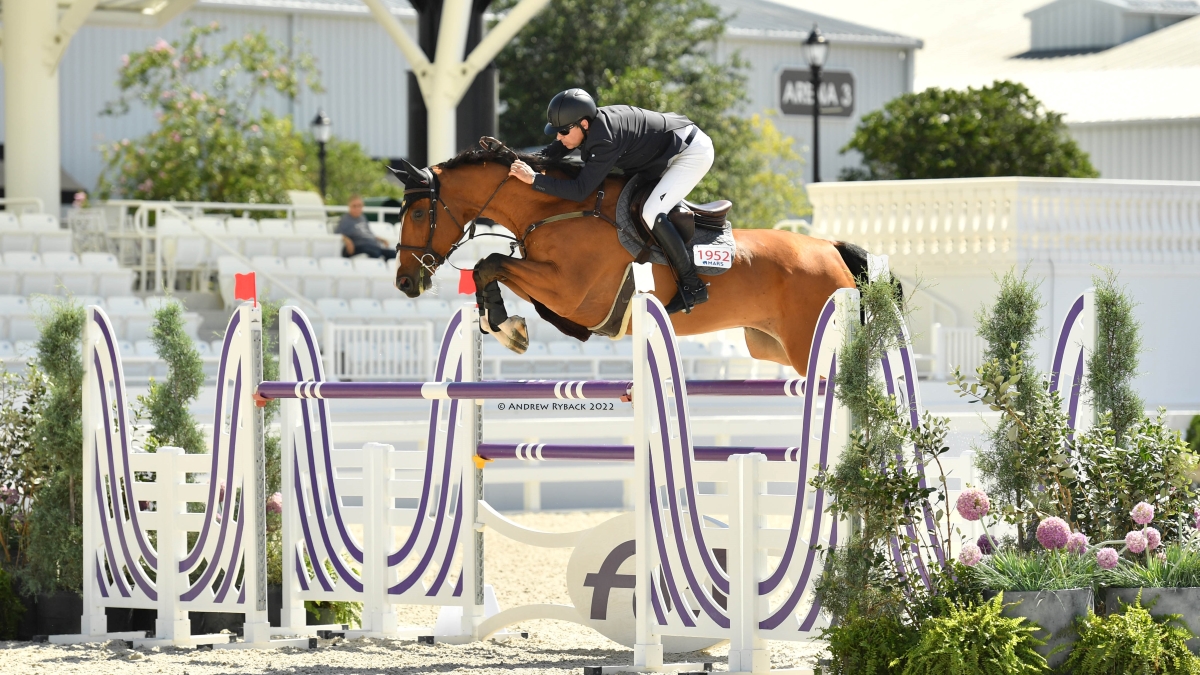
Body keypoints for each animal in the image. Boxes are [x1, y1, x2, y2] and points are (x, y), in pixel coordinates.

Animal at [388, 144, 868, 372]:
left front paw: (509, 328)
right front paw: (503, 323)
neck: (555, 208)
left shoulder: (571, 293)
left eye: (418, 213)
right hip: (771, 347)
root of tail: (830, 248)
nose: (405, 282)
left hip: (808, 345)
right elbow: (491, 269)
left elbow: (490, 262)